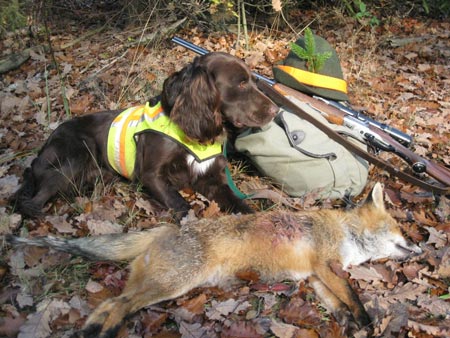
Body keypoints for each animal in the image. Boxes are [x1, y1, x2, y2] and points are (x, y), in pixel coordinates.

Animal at [7, 184, 422, 336]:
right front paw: (366, 322)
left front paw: (349, 325)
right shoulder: (326, 265)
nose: (420, 246)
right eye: (398, 228)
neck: (343, 231)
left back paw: (95, 329)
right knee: (120, 304)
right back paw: (107, 331)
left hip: (159, 284)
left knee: (111, 302)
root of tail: (164, 230)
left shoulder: (316, 276)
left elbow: (337, 304)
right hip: (173, 285)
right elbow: (352, 295)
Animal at [13, 51, 278, 218]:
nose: (275, 110)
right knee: (31, 203)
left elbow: (238, 202)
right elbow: (180, 204)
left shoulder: (209, 177)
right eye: (241, 83)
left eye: (253, 80)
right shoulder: (151, 175)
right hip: (74, 155)